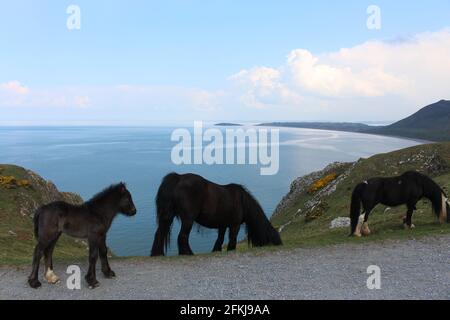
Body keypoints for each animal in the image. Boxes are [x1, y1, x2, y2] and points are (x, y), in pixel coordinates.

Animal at [151, 171, 282, 256]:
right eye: (273, 237)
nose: (280, 244)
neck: (242, 201)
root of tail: (179, 178)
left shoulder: (222, 225)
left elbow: (220, 239)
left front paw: (216, 251)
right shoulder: (234, 225)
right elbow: (232, 240)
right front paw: (230, 250)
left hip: (168, 217)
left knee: (160, 233)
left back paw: (157, 254)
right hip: (188, 219)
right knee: (182, 237)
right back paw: (188, 254)